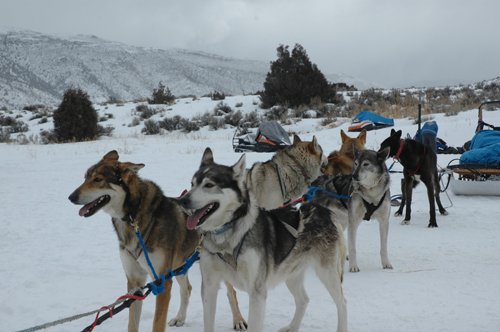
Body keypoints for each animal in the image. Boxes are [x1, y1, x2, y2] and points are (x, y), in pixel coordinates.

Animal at [66, 152, 246, 332]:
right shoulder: (136, 281)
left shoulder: (162, 281)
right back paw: (180, 318)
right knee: (187, 289)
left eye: (98, 179)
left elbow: (157, 323)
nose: (71, 197)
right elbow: (132, 323)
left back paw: (238, 320)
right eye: (85, 178)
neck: (133, 217)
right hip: (180, 264)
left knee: (231, 293)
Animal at [180, 150, 348, 332]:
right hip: (292, 274)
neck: (227, 235)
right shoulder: (210, 287)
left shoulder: (257, 292)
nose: (183, 201)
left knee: (342, 303)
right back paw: (292, 327)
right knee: (304, 299)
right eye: (192, 184)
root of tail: (326, 212)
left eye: (209, 185)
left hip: (327, 274)